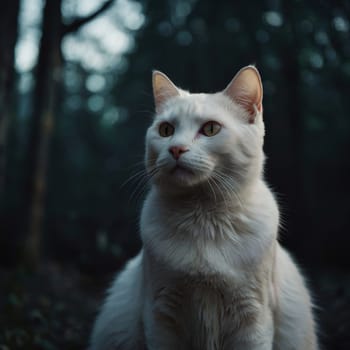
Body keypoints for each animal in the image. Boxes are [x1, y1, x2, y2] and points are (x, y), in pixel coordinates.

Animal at [89, 66, 318, 350]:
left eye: (210, 129)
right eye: (166, 130)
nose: (176, 149)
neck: (203, 217)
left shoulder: (253, 318)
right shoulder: (160, 314)